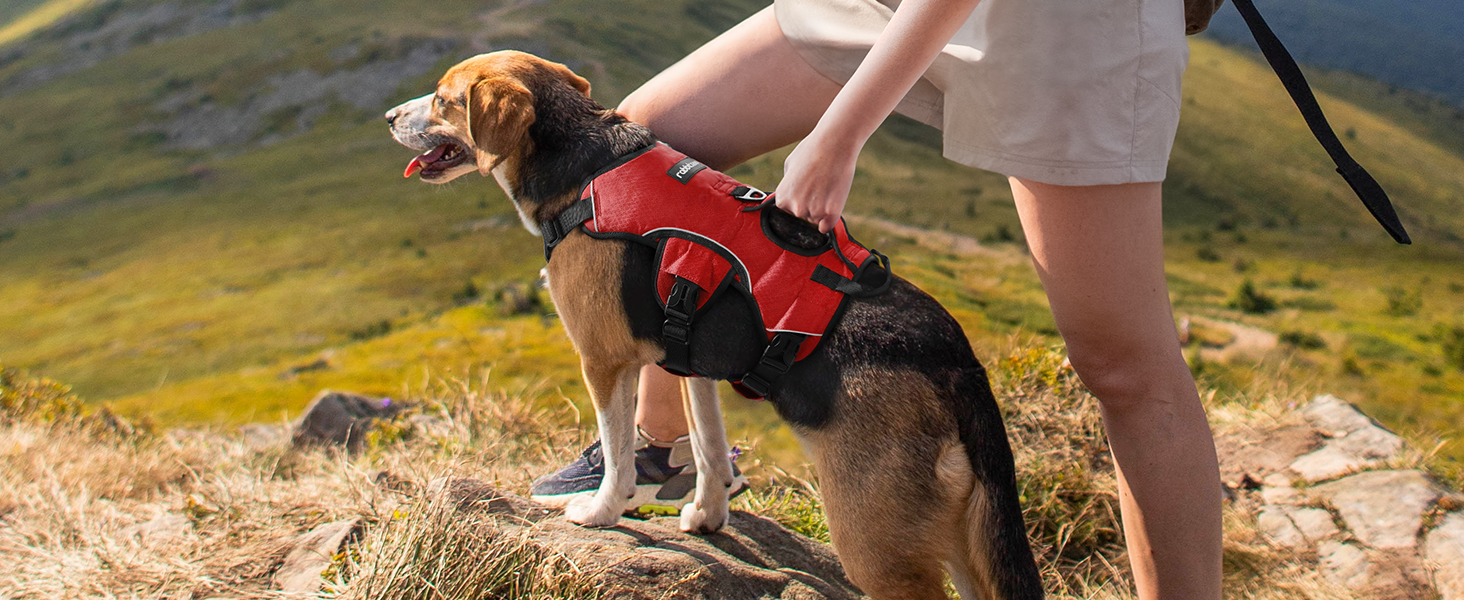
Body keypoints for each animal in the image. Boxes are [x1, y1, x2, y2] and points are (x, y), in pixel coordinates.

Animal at [386, 51, 1054, 600]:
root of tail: (953, 356)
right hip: (965, 540)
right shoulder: (691, 364)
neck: (584, 163)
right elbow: (708, 450)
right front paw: (708, 517)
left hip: (876, 539)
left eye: (445, 99)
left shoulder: (604, 359)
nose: (390, 115)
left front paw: (601, 511)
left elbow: (620, 452)